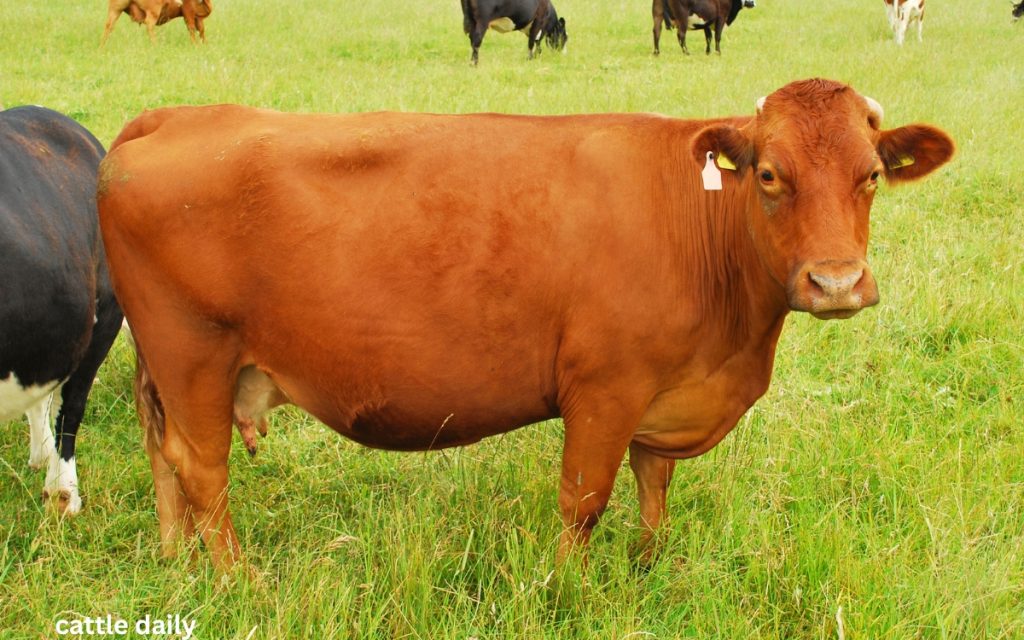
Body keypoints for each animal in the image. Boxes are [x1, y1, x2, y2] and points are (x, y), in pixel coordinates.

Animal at [96, 78, 954, 571]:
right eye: (771, 176)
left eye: (870, 175)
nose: (836, 282)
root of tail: (171, 117)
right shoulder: (604, 388)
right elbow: (585, 500)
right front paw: (571, 588)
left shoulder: (665, 397)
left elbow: (654, 490)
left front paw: (646, 568)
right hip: (193, 351)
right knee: (201, 467)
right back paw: (239, 579)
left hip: (171, 364)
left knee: (163, 451)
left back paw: (177, 561)